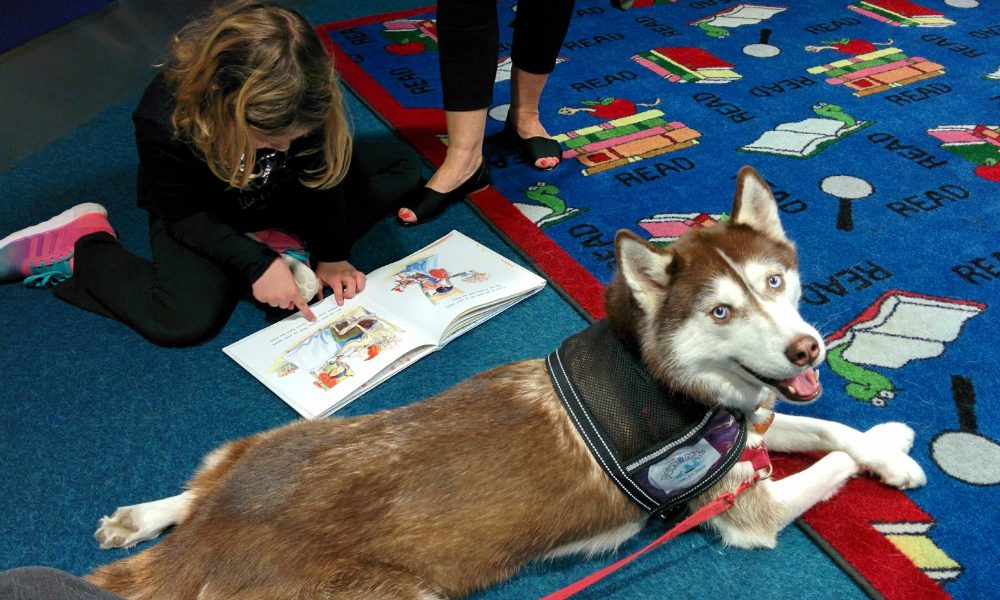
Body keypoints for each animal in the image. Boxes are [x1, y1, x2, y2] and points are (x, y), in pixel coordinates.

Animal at [90, 168, 924, 600]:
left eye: (775, 282)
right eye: (722, 310)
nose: (807, 347)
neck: (668, 383)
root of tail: (206, 546)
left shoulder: (749, 422)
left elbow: (824, 428)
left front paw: (887, 449)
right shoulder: (745, 506)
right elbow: (827, 462)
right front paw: (891, 442)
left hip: (276, 440)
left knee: (202, 483)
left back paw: (140, 516)